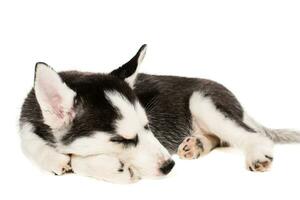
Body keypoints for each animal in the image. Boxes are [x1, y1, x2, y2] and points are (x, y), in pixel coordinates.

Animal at [19, 44, 300, 184]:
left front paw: (109, 168)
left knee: (253, 136)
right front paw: (53, 158)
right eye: (120, 140)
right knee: (220, 138)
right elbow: (31, 144)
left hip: (202, 101)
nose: (169, 166)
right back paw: (197, 144)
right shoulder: (25, 123)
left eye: (148, 127)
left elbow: (77, 160)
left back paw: (256, 153)